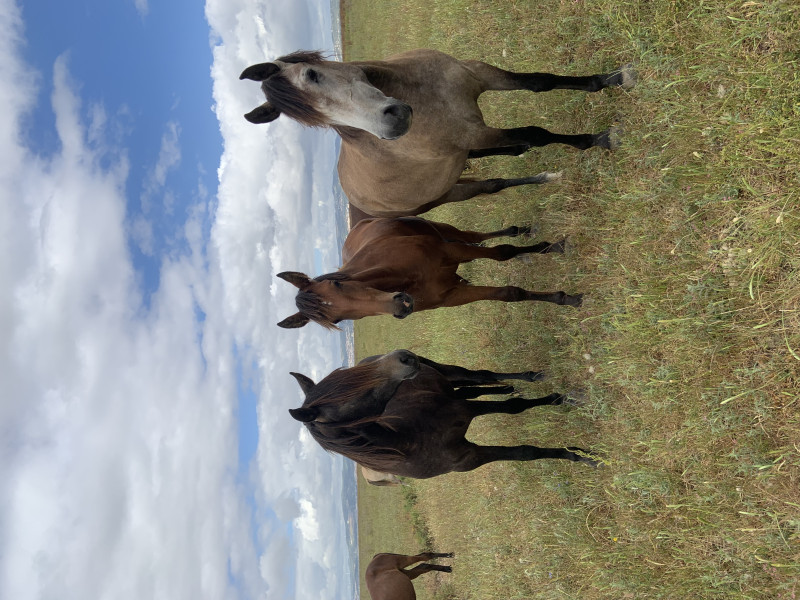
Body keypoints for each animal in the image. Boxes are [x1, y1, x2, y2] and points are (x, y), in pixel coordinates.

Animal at [241, 48, 636, 218]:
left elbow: (541, 82)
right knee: (493, 182)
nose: (392, 122)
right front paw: (598, 139)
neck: (423, 93)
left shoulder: (478, 74)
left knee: (507, 153)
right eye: (325, 124)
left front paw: (613, 78)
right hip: (449, 192)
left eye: (313, 74)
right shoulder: (474, 136)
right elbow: (537, 133)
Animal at [276, 216, 580, 328]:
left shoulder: (452, 250)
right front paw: (564, 298)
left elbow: (504, 252)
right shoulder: (454, 294)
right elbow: (509, 294)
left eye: (337, 285)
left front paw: (552, 248)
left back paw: (520, 231)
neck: (410, 275)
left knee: (477, 236)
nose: (400, 304)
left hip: (447, 232)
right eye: (338, 319)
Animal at [284, 346, 596, 478]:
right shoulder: (471, 455)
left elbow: (513, 410)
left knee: (478, 375)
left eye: (347, 376)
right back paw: (507, 386)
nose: (403, 357)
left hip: (440, 370)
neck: (411, 440)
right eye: (352, 395)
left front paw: (561, 400)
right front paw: (576, 454)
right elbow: (524, 451)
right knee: (473, 386)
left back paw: (528, 377)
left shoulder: (463, 410)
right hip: (445, 384)